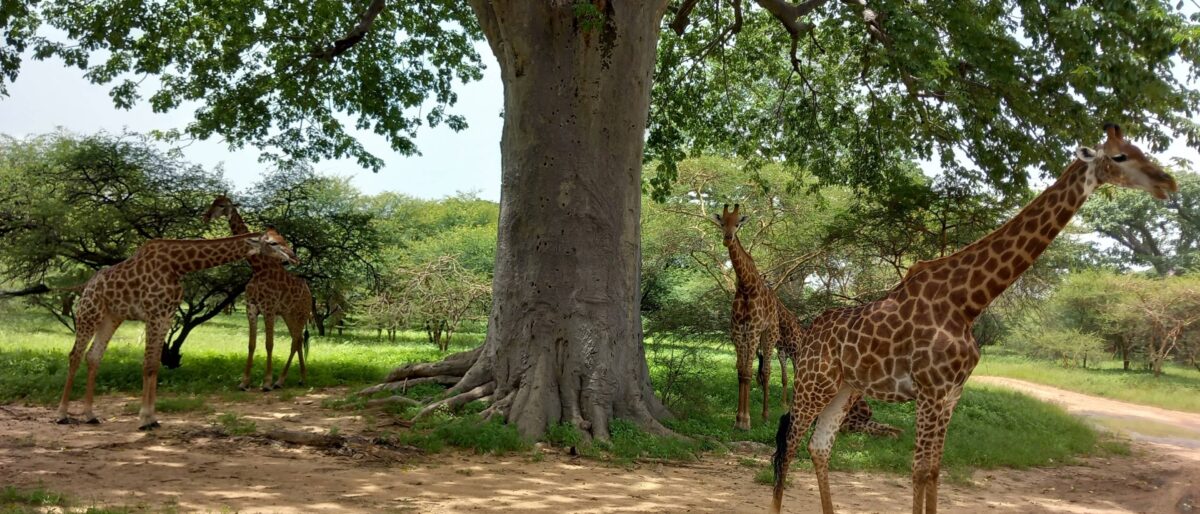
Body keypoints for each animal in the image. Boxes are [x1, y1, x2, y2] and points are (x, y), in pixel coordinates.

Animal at [56, 230, 300, 430]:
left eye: (283, 239)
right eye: (273, 243)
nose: (294, 257)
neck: (179, 265)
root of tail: (87, 284)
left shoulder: (166, 316)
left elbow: (154, 366)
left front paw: (152, 418)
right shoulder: (154, 314)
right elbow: (147, 365)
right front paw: (143, 420)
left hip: (111, 317)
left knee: (93, 356)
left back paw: (90, 415)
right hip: (90, 312)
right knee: (74, 355)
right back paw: (61, 415)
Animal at [203, 196, 314, 391]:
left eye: (222, 205)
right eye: (214, 203)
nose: (206, 216)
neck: (258, 268)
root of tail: (310, 293)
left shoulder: (268, 309)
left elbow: (269, 344)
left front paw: (267, 382)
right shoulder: (252, 308)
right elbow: (251, 344)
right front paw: (244, 382)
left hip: (300, 313)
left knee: (295, 341)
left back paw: (280, 381)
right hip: (288, 314)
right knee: (298, 340)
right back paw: (298, 378)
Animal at [715, 204, 899, 436]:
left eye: (738, 223)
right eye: (722, 223)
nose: (727, 238)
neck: (746, 287)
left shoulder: (755, 329)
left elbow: (750, 373)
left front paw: (745, 420)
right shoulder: (738, 330)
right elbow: (741, 372)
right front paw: (738, 418)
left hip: (769, 334)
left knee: (767, 371)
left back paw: (766, 415)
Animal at [769, 123, 1178, 514]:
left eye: (1141, 149)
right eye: (1120, 156)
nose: (1167, 183)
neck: (967, 302)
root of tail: (808, 332)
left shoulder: (951, 395)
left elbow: (934, 470)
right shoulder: (930, 392)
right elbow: (919, 470)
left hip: (845, 389)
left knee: (819, 447)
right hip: (814, 383)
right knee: (788, 444)